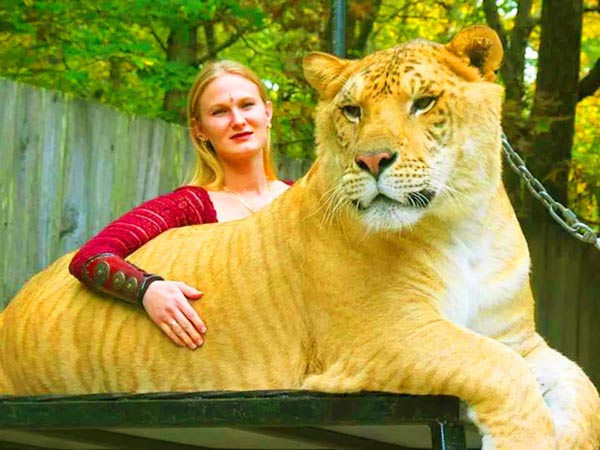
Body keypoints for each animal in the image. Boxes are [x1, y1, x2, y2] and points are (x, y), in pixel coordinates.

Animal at [1, 26, 600, 448]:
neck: (462, 223)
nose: (372, 160)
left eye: (424, 102)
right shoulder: (383, 334)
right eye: (352, 111)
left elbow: (583, 391)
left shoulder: (516, 337)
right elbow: (500, 372)